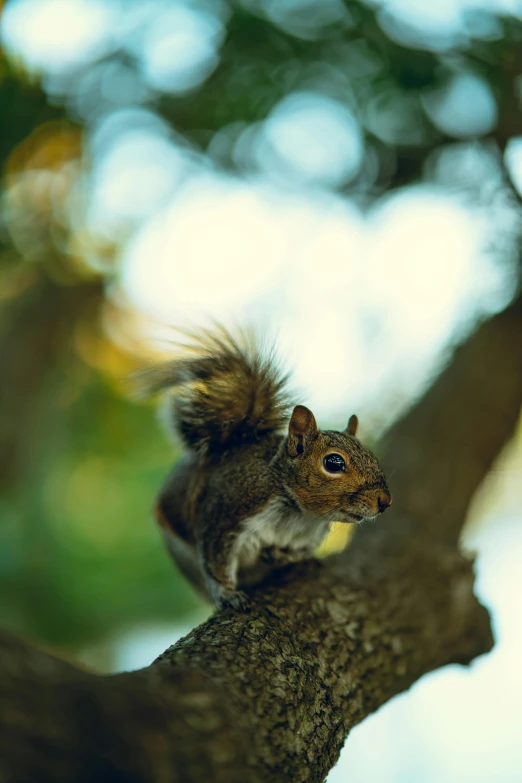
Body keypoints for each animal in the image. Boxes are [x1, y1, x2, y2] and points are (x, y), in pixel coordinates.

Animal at [138, 328, 390, 608]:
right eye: (333, 463)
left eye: (372, 457)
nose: (385, 501)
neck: (296, 512)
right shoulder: (226, 512)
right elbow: (215, 561)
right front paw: (227, 593)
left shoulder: (312, 534)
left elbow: (300, 552)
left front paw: (284, 556)